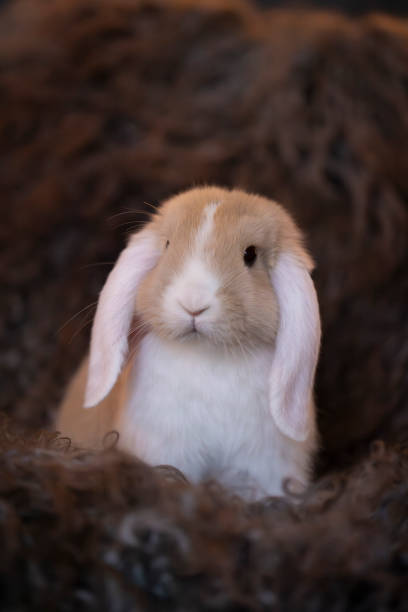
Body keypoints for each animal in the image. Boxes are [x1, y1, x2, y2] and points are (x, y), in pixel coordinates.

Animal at [56, 188, 322, 502]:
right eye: (167, 245)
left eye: (251, 254)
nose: (193, 302)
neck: (207, 356)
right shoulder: (166, 448)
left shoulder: (265, 462)